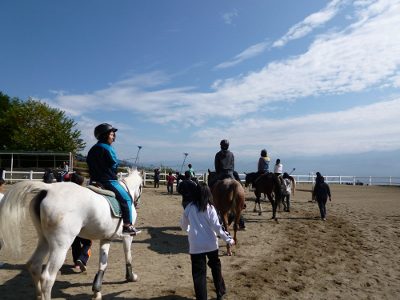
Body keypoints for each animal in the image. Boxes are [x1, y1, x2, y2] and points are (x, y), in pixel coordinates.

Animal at [0, 169, 143, 300]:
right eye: (141, 186)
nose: (137, 203)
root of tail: (49, 188)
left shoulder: (106, 238)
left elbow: (103, 263)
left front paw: (97, 291)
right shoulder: (127, 236)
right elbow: (128, 255)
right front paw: (131, 276)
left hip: (44, 239)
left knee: (34, 265)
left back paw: (39, 295)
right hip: (60, 246)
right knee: (47, 277)